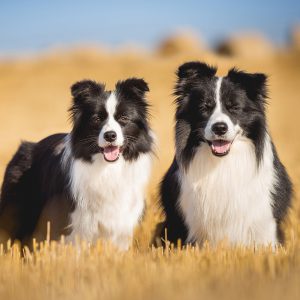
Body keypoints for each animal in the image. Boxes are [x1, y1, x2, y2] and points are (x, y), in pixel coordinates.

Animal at [0, 77, 154, 248]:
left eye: (124, 118)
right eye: (96, 119)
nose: (110, 135)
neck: (107, 168)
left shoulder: (122, 226)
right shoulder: (74, 226)